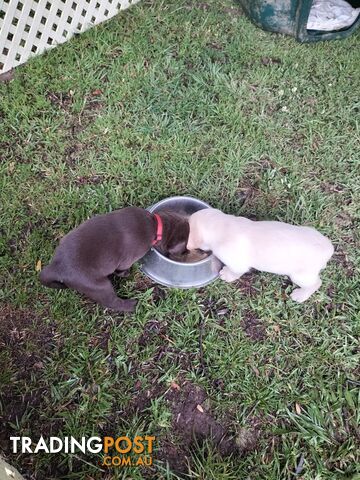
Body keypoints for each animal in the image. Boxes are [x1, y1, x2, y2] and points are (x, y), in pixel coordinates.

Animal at [40, 208, 188, 314]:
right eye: (184, 248)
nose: (186, 253)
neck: (155, 224)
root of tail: (56, 266)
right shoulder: (128, 259)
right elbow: (121, 269)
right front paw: (125, 274)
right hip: (98, 286)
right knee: (111, 302)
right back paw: (132, 305)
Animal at [188, 208, 334, 302]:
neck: (223, 225)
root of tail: (328, 247)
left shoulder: (237, 263)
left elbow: (235, 271)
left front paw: (227, 275)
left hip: (301, 276)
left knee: (316, 283)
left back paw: (300, 295)